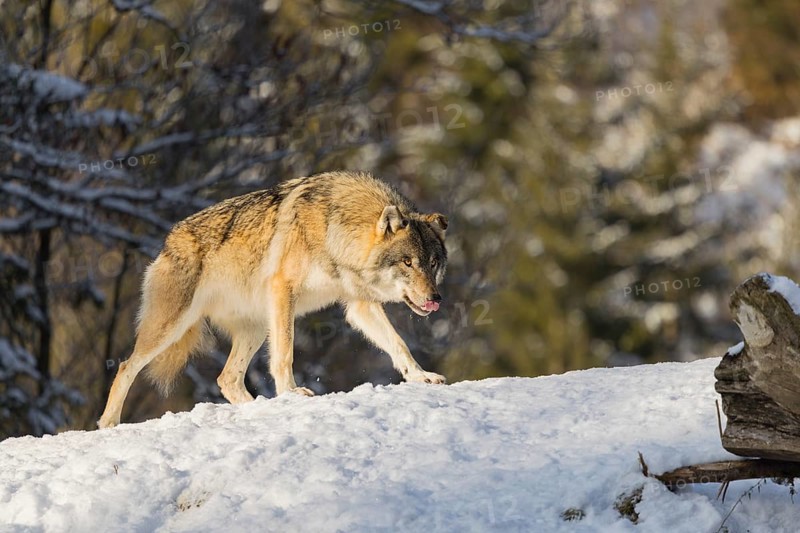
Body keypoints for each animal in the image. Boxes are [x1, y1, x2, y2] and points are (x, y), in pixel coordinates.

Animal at [98, 171, 448, 428]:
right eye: (407, 262)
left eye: (433, 263)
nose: (435, 299)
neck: (334, 231)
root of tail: (169, 239)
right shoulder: (284, 290)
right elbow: (285, 354)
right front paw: (291, 393)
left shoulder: (359, 306)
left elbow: (399, 345)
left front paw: (422, 377)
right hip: (171, 327)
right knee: (127, 366)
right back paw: (109, 423)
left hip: (254, 329)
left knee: (227, 379)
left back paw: (257, 407)